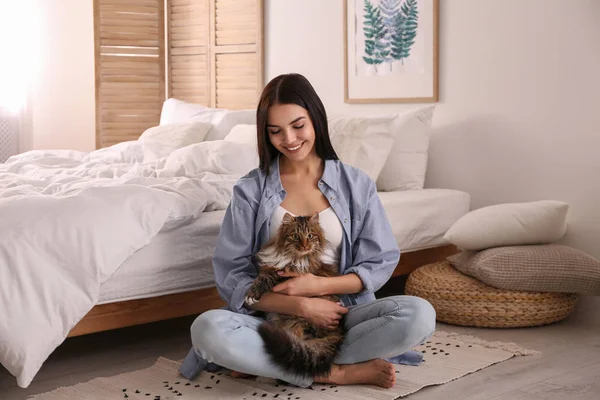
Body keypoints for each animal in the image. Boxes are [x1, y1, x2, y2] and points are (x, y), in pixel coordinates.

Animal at [244, 212, 344, 378]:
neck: (293, 257)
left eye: (310, 235)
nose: (305, 246)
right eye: (296, 236)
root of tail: (339, 332)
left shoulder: (286, 275)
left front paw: (251, 295)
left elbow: (267, 277)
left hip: (298, 321)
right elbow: (263, 274)